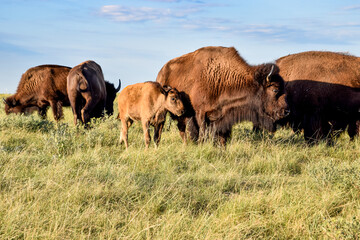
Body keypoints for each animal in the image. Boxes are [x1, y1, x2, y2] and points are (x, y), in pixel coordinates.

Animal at [156, 46, 288, 145]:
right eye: (275, 90)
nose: (286, 111)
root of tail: (161, 71)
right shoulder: (200, 114)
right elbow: (203, 134)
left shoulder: (224, 115)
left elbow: (222, 136)